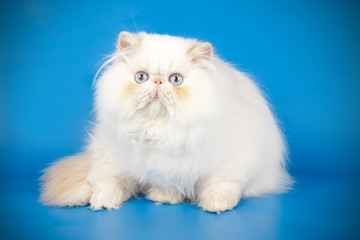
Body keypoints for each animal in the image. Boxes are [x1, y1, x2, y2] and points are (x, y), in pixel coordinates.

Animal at [40, 31, 292, 213]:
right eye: (141, 77)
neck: (160, 130)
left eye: (176, 80)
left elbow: (221, 185)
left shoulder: (233, 161)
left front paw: (215, 204)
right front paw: (163, 197)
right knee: (105, 182)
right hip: (107, 154)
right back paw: (104, 202)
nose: (158, 82)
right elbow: (120, 183)